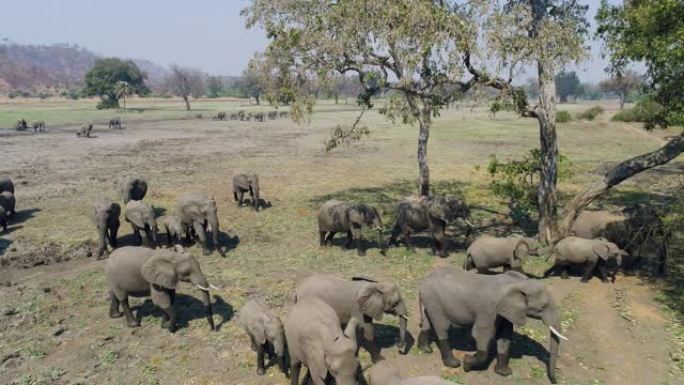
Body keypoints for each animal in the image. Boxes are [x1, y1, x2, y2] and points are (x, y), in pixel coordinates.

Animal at [416, 266, 568, 382]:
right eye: (542, 307)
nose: (555, 380)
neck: (516, 283)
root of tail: (424, 279)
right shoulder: (488, 310)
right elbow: (481, 335)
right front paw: (467, 364)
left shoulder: (505, 313)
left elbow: (505, 337)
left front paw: (505, 373)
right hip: (434, 299)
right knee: (442, 327)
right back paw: (453, 364)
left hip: (428, 299)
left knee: (427, 323)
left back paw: (425, 350)